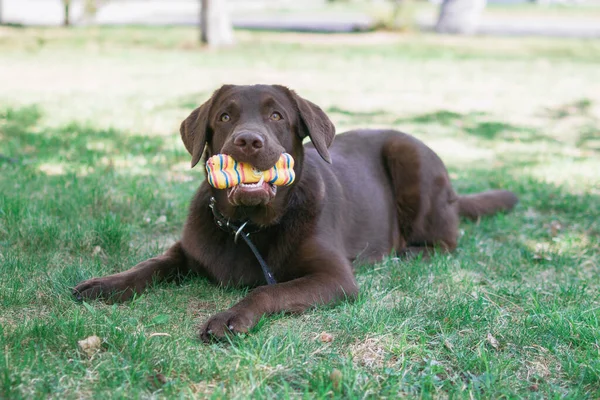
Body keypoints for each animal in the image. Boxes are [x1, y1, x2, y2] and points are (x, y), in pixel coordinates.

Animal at [72, 84, 516, 340]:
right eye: (225, 116)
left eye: (277, 115)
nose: (247, 141)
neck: (248, 226)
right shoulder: (188, 248)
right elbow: (152, 262)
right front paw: (107, 284)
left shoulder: (335, 278)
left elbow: (269, 289)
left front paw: (232, 316)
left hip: (412, 160)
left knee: (446, 240)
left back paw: (406, 252)